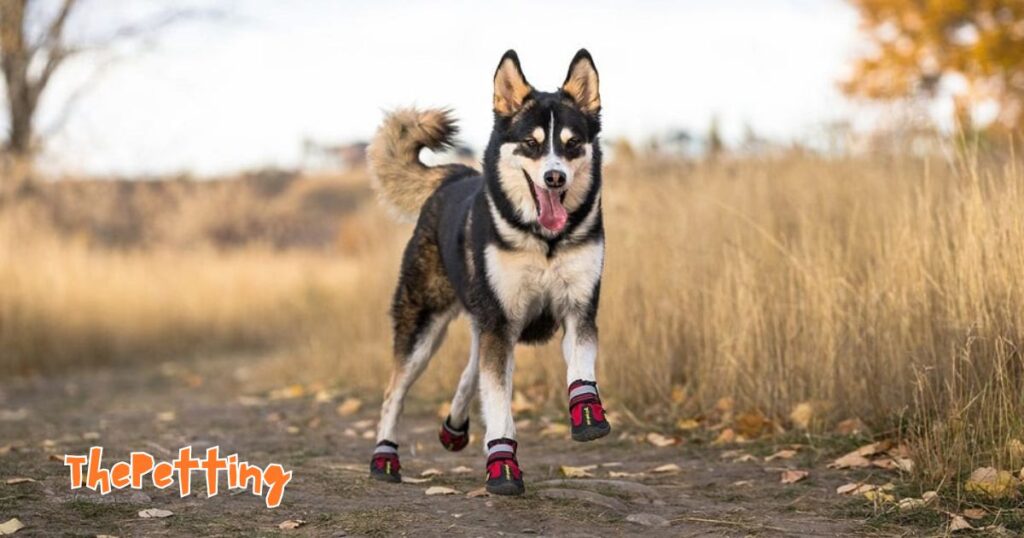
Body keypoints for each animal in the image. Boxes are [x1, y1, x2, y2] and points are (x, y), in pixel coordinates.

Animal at [368, 48, 606, 493]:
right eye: (531, 143)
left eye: (572, 144)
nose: (554, 177)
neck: (543, 240)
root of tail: (456, 173)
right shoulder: (500, 320)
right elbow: (497, 400)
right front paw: (503, 464)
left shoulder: (578, 308)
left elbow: (580, 368)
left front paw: (587, 413)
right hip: (424, 326)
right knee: (395, 391)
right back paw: (384, 457)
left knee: (471, 366)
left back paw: (454, 426)